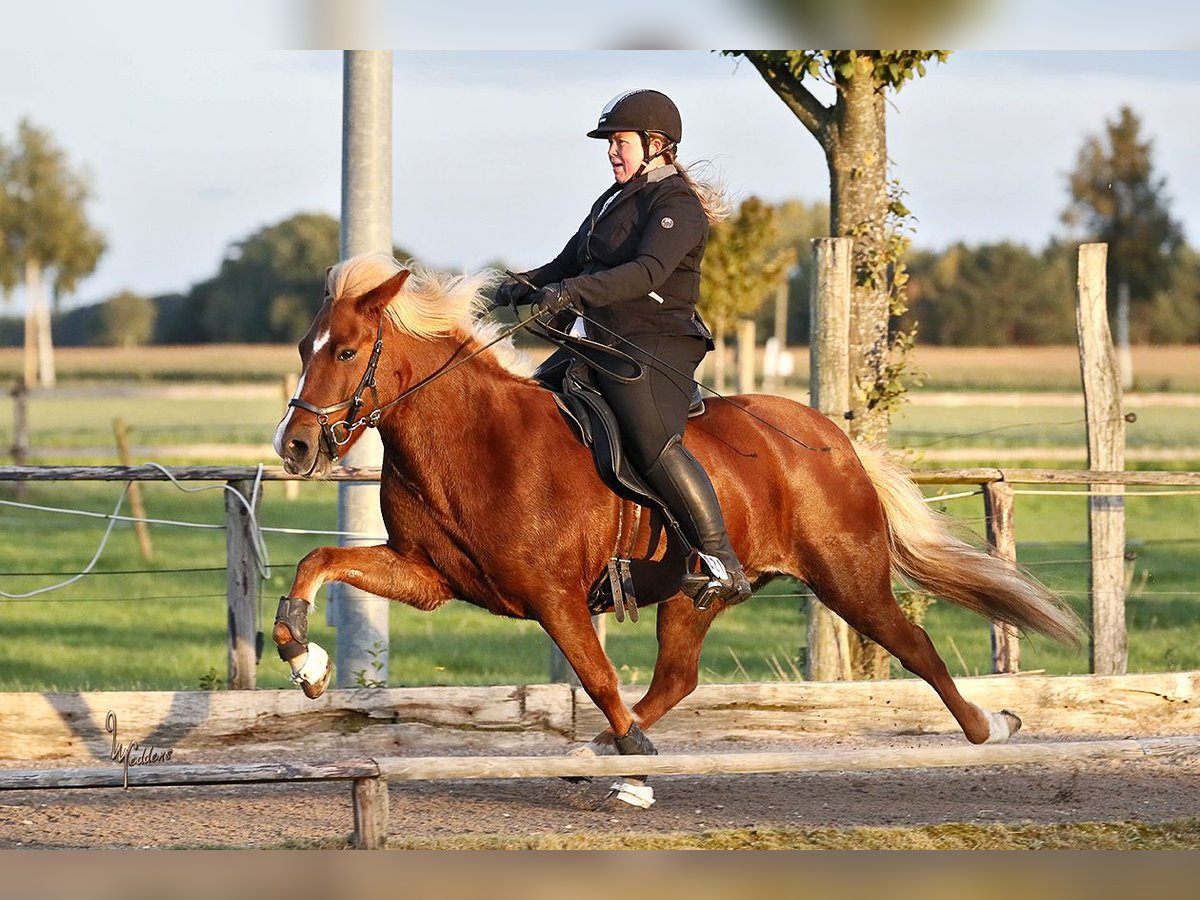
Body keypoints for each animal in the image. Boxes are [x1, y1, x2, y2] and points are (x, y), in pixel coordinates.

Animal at [272, 254, 1080, 763]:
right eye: (305, 345)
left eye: (346, 352)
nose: (296, 447)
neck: (475, 440)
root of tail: (834, 441)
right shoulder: (428, 577)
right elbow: (320, 560)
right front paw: (304, 658)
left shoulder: (554, 594)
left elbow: (595, 673)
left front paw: (629, 750)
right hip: (694, 594)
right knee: (678, 678)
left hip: (848, 577)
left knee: (915, 647)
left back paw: (991, 726)